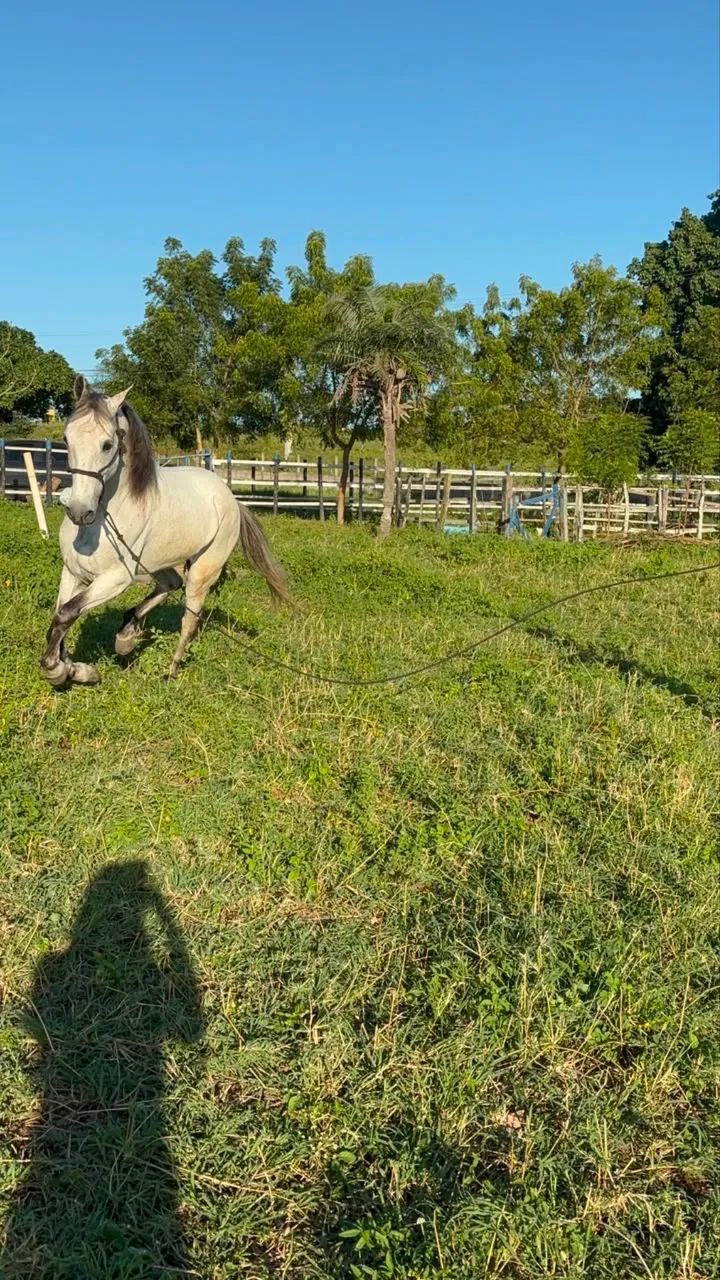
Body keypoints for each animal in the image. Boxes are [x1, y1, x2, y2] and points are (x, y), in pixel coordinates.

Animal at [40, 377, 289, 686]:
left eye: (107, 444)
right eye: (66, 439)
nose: (79, 511)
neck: (102, 523)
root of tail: (230, 498)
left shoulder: (115, 579)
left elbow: (65, 614)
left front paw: (62, 670)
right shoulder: (73, 572)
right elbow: (62, 616)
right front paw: (73, 669)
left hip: (202, 572)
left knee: (189, 620)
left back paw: (170, 671)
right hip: (158, 563)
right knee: (171, 584)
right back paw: (127, 637)